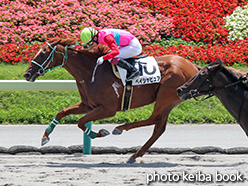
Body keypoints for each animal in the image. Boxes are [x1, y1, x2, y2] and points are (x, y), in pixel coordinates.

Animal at [23, 37, 203, 163]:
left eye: (43, 53)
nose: (27, 74)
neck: (92, 72)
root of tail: (194, 66)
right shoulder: (88, 105)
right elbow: (62, 112)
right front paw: (45, 137)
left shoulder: (108, 109)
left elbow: (81, 122)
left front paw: (99, 133)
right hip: (172, 100)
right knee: (159, 127)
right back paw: (134, 155)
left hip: (165, 95)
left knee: (154, 118)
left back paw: (120, 128)